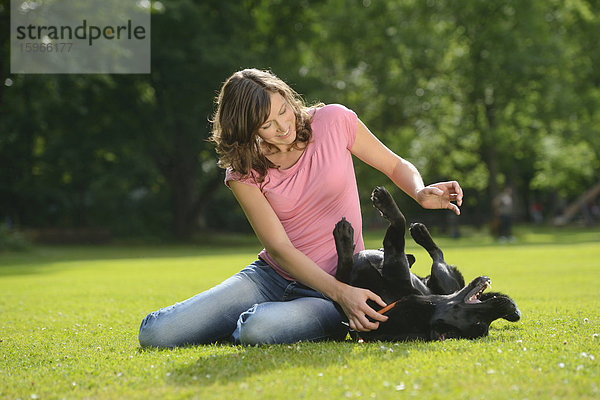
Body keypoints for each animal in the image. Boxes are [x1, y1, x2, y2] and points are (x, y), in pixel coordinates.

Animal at [332, 187, 520, 340]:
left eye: (481, 322)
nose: (509, 307)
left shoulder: (392, 256)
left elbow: (399, 223)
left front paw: (345, 236)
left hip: (441, 273)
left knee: (438, 255)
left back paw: (420, 233)